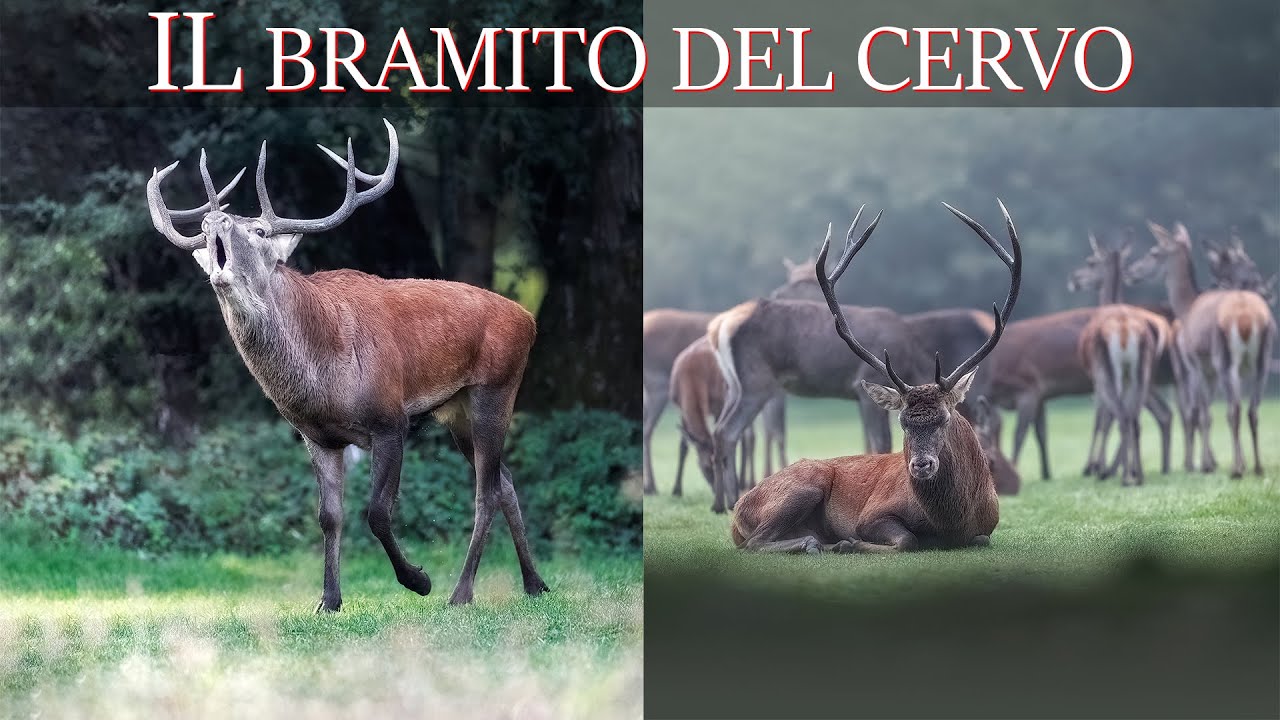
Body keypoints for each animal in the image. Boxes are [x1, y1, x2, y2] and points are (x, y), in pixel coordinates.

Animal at [145, 120, 548, 612]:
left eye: (258, 230)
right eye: (208, 229)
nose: (212, 220)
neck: (323, 376)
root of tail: (528, 319)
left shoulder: (390, 419)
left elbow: (377, 513)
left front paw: (418, 580)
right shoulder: (317, 435)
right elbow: (329, 516)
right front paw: (329, 600)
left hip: (496, 388)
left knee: (486, 492)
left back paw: (461, 592)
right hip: (458, 412)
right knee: (505, 483)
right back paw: (535, 584)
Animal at [730, 200, 1020, 553]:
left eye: (945, 418)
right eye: (903, 422)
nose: (921, 465)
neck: (949, 524)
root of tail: (737, 511)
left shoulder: (987, 528)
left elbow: (980, 538)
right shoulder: (872, 513)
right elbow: (907, 540)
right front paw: (852, 542)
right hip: (803, 484)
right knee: (754, 542)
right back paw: (819, 544)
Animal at [1130, 222, 1275, 477]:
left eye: (1154, 252)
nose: (1131, 271)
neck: (1186, 307)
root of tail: (1248, 319)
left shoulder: (1197, 364)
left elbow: (1205, 413)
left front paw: (1208, 465)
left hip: (1222, 358)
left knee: (1227, 410)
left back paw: (1232, 469)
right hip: (1262, 360)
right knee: (1251, 410)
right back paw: (1256, 467)